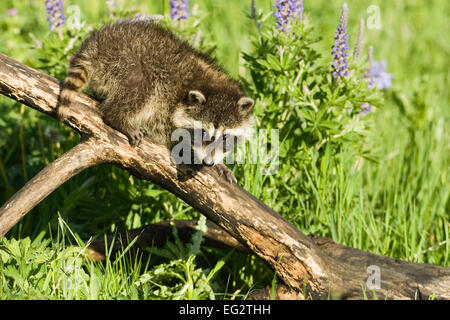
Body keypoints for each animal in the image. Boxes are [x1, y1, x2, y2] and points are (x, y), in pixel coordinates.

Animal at [56, 20, 255, 182]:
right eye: (202, 133)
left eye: (226, 137)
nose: (208, 161)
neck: (209, 83)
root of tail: (98, 42)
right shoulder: (167, 99)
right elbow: (165, 130)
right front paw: (184, 147)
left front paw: (220, 163)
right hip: (129, 63)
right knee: (140, 89)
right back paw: (118, 117)